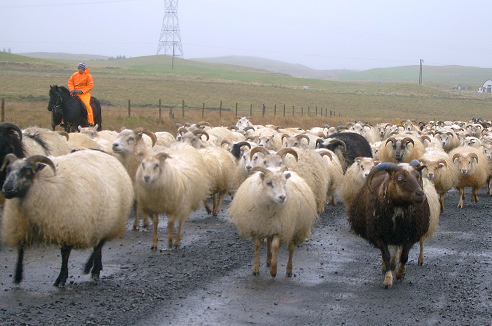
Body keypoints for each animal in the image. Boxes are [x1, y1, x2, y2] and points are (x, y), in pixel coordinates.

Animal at [0, 150, 134, 288]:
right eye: (8, 170)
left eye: (27, 172)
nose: (7, 189)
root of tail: (107, 155)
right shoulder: (22, 225)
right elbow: (20, 248)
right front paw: (17, 275)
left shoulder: (67, 227)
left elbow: (65, 254)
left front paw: (61, 279)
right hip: (102, 222)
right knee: (98, 245)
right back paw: (94, 267)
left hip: (110, 221)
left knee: (99, 245)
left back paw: (93, 269)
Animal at [348, 160, 432, 288]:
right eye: (400, 178)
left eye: (418, 176)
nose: (420, 194)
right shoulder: (378, 235)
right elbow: (386, 255)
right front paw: (388, 279)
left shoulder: (411, 235)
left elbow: (404, 256)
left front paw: (400, 273)